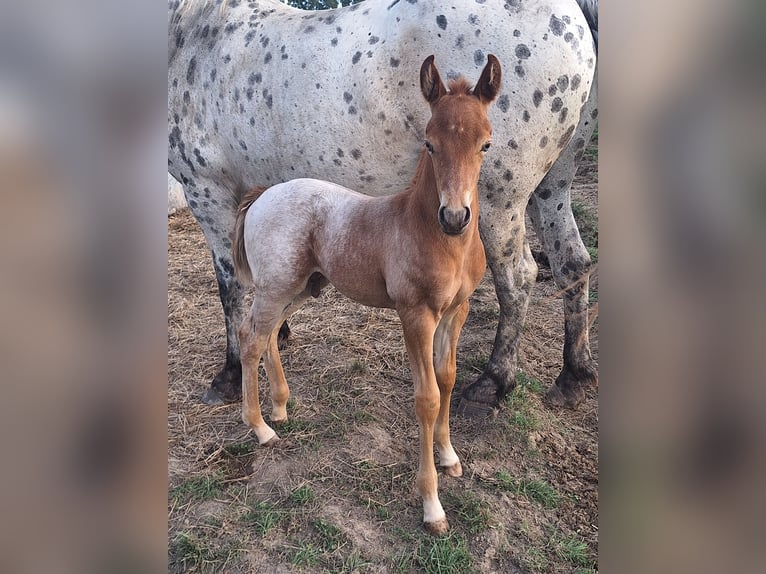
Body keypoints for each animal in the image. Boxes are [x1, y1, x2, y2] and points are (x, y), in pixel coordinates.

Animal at [168, 0, 600, 414]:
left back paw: (492, 382)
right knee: (573, 263)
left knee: (519, 277)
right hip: (550, 189)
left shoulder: (208, 193)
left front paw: (230, 373)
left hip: (499, 203)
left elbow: (231, 284)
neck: (195, 34)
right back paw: (574, 377)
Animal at [231, 55, 500, 536]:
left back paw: (280, 407)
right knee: (250, 338)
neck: (436, 237)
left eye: (486, 144)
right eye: (429, 144)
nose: (454, 217)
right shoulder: (415, 315)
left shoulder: (457, 310)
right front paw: (432, 506)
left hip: (301, 287)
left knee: (267, 336)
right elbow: (427, 397)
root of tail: (264, 194)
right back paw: (261, 428)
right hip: (276, 286)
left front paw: (450, 456)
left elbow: (448, 378)